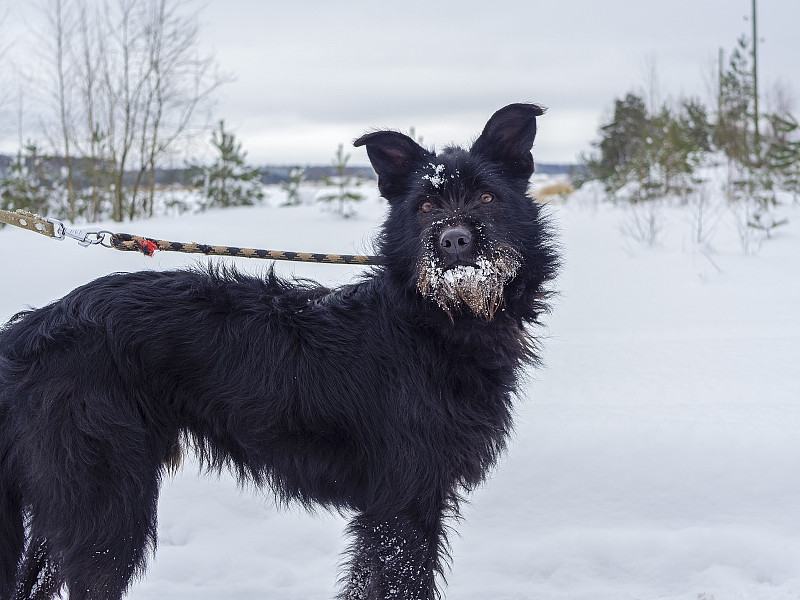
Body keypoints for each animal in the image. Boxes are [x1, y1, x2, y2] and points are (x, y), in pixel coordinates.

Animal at [1, 105, 556, 596]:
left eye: (486, 196)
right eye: (425, 205)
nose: (455, 242)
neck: (435, 317)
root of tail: (29, 332)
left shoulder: (390, 509)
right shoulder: (405, 501)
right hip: (106, 504)